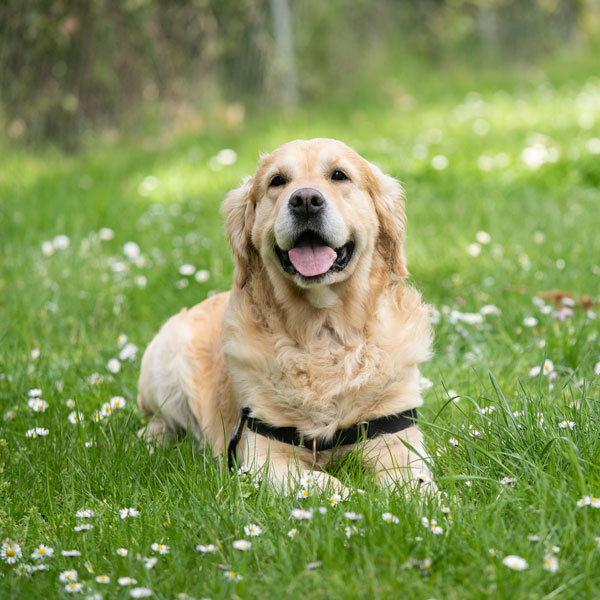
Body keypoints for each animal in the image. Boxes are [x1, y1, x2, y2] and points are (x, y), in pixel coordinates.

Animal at [138, 138, 434, 494]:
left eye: (339, 175)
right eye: (277, 181)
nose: (305, 200)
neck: (323, 332)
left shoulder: (395, 437)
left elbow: (417, 485)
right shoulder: (264, 456)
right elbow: (329, 485)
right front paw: (360, 498)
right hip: (164, 359)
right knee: (160, 419)